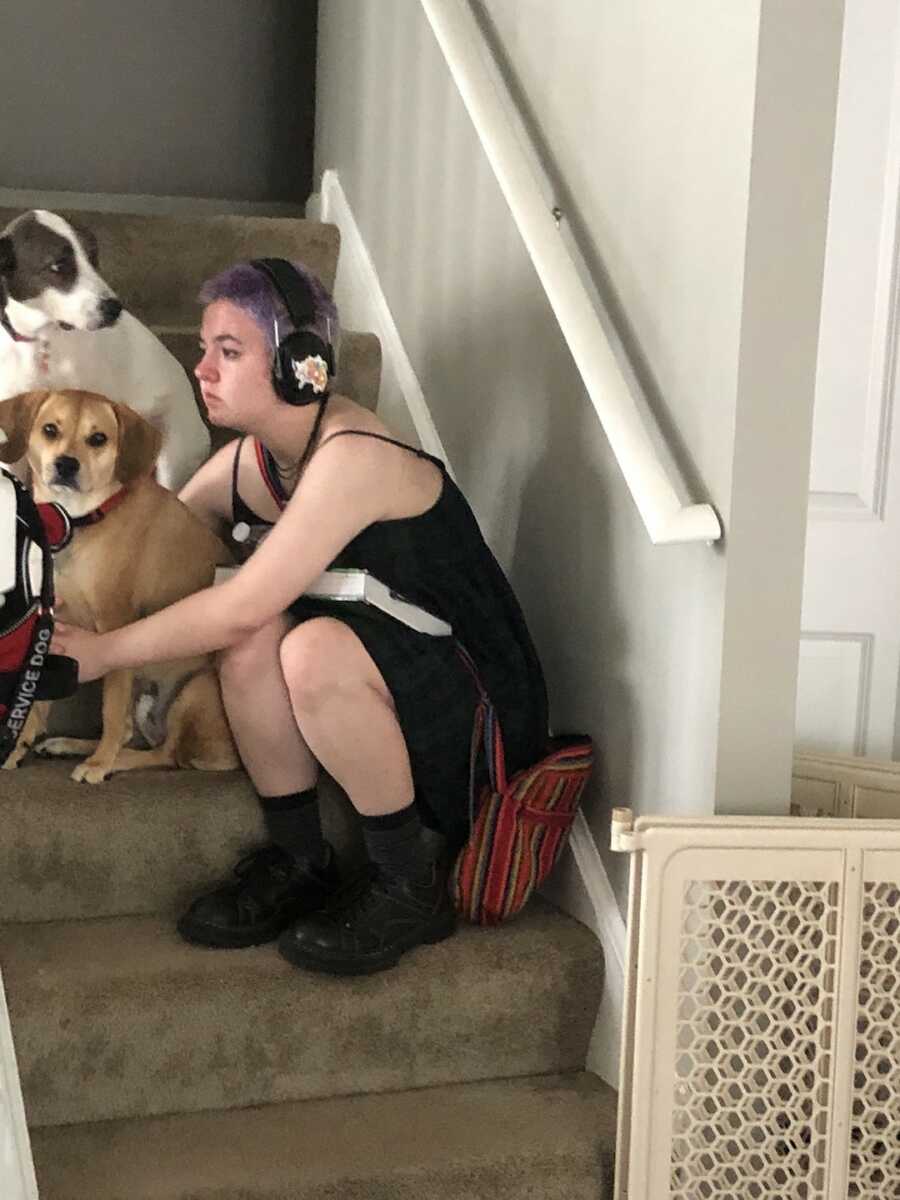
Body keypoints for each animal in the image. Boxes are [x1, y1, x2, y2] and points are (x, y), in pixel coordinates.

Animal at [0, 388, 240, 782]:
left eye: (98, 438)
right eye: (50, 429)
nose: (66, 464)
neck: (74, 521)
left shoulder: (115, 626)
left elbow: (110, 709)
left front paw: (99, 765)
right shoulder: (53, 623)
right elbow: (37, 699)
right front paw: (18, 746)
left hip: (195, 689)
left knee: (166, 754)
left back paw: (106, 760)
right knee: (135, 735)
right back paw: (70, 745)